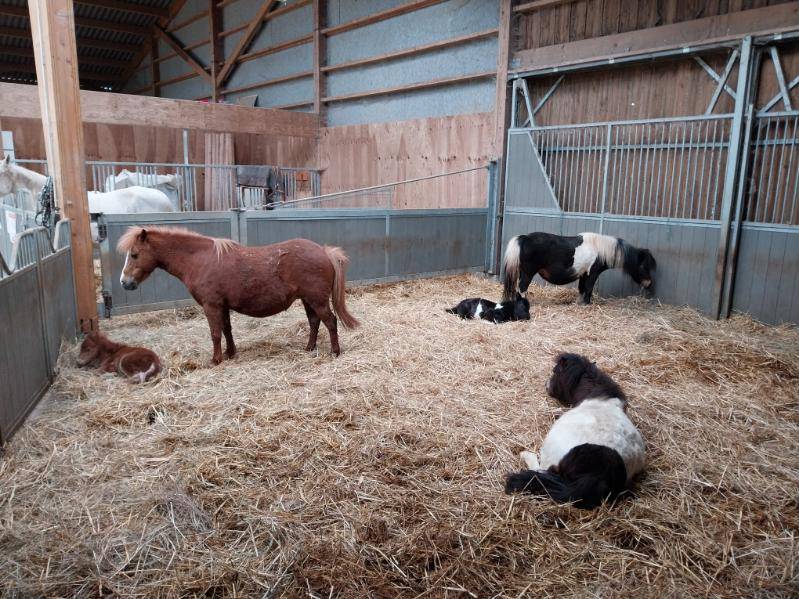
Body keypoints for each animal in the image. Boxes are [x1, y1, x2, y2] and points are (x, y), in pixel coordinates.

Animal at [117, 226, 359, 364]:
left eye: (135, 254)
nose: (125, 283)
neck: (200, 259)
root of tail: (324, 251)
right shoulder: (222, 306)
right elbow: (226, 330)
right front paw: (230, 353)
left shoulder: (212, 306)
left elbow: (215, 333)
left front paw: (216, 360)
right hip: (308, 300)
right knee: (314, 322)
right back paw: (309, 348)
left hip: (317, 300)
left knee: (330, 321)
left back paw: (335, 352)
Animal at [501, 232, 656, 304]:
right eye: (644, 266)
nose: (649, 283)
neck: (601, 249)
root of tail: (525, 238)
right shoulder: (592, 273)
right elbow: (588, 288)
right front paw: (586, 303)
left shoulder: (583, 274)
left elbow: (582, 288)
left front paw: (578, 302)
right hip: (528, 273)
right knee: (522, 288)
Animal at [505, 353, 645, 509]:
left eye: (555, 371)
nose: (546, 385)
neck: (600, 400)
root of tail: (601, 471)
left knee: (540, 469)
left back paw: (525, 455)